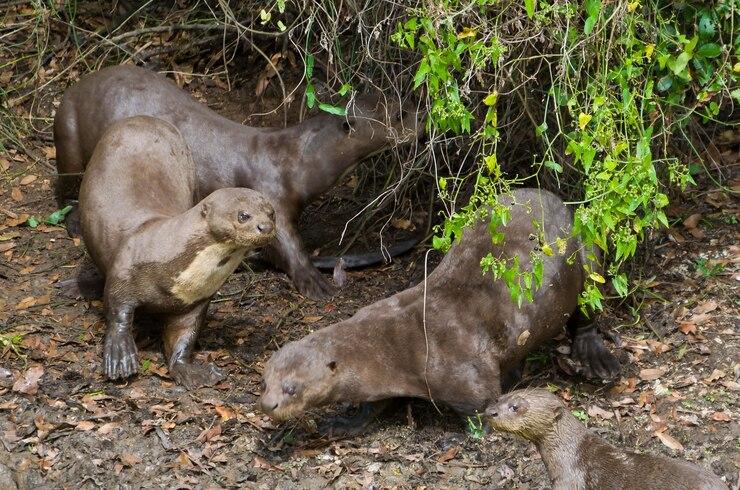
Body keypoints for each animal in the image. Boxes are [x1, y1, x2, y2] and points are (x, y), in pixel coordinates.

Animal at [53, 63, 422, 296]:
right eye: (400, 114)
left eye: (406, 101)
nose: (424, 117)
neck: (295, 160)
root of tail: (75, 86)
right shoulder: (268, 195)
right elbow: (286, 242)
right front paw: (314, 282)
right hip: (69, 133)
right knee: (68, 183)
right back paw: (74, 222)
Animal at [79, 117, 274, 388]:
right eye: (243, 215)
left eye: (271, 212)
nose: (265, 227)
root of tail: (143, 118)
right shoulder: (125, 269)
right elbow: (117, 308)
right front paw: (120, 357)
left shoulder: (194, 302)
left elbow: (183, 336)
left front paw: (191, 370)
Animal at [258, 188, 620, 428]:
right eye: (265, 381)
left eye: (291, 388)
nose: (267, 404)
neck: (391, 347)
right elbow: (374, 406)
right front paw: (344, 422)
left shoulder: (464, 374)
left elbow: (484, 403)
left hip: (587, 257)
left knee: (588, 308)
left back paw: (596, 359)